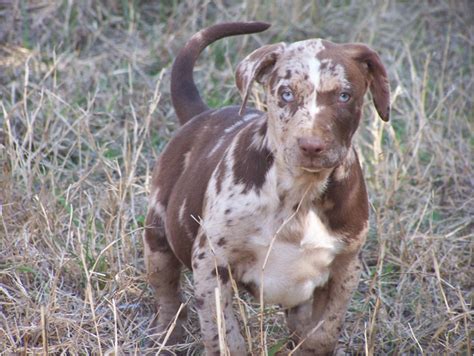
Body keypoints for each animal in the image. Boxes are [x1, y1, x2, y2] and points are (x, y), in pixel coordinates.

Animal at [144, 20, 388, 354]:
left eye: (344, 96)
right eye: (285, 94)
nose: (311, 145)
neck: (300, 190)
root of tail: (201, 114)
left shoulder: (346, 266)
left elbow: (324, 331)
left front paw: (313, 345)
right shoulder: (211, 261)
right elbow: (224, 335)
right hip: (157, 232)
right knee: (167, 288)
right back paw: (167, 334)